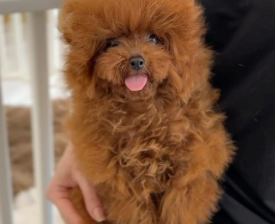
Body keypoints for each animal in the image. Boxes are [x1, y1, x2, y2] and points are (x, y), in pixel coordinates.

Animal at [59, 0, 235, 223]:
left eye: (153, 38)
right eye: (112, 43)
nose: (136, 60)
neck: (143, 112)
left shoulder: (192, 163)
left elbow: (180, 204)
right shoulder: (119, 180)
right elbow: (136, 212)